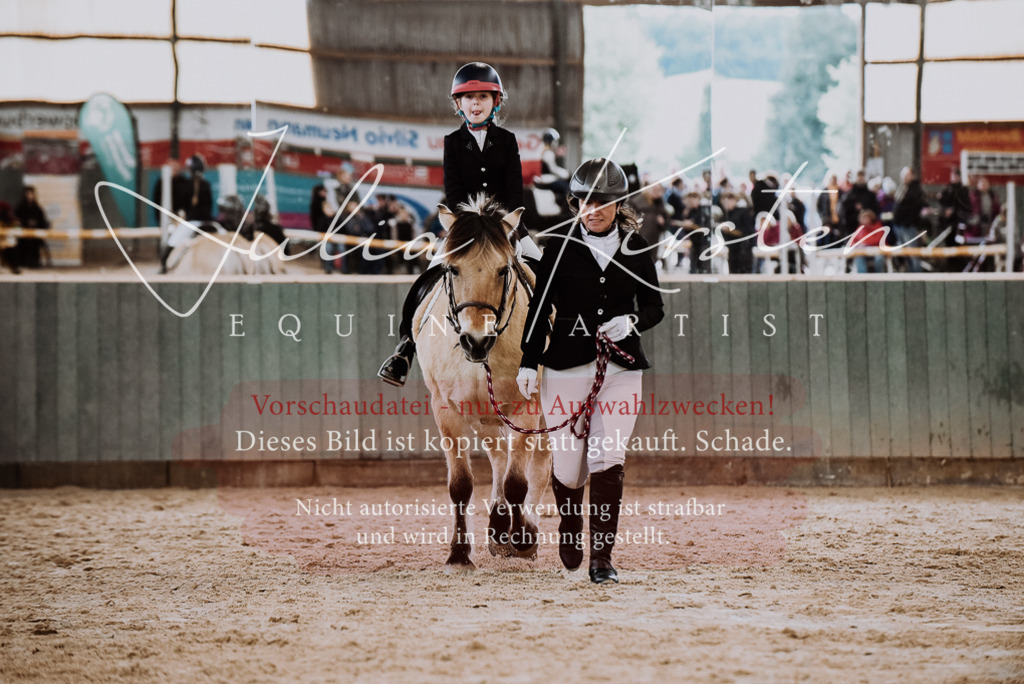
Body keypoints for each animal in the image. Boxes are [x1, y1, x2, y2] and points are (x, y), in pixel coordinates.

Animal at [414, 196, 551, 571]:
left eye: (503, 270)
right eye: (453, 269)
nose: (476, 340)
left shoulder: (526, 406)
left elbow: (518, 481)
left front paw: (523, 540)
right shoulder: (447, 410)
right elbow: (461, 484)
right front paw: (459, 554)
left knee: (540, 462)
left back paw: (524, 529)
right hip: (486, 417)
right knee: (499, 456)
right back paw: (499, 526)